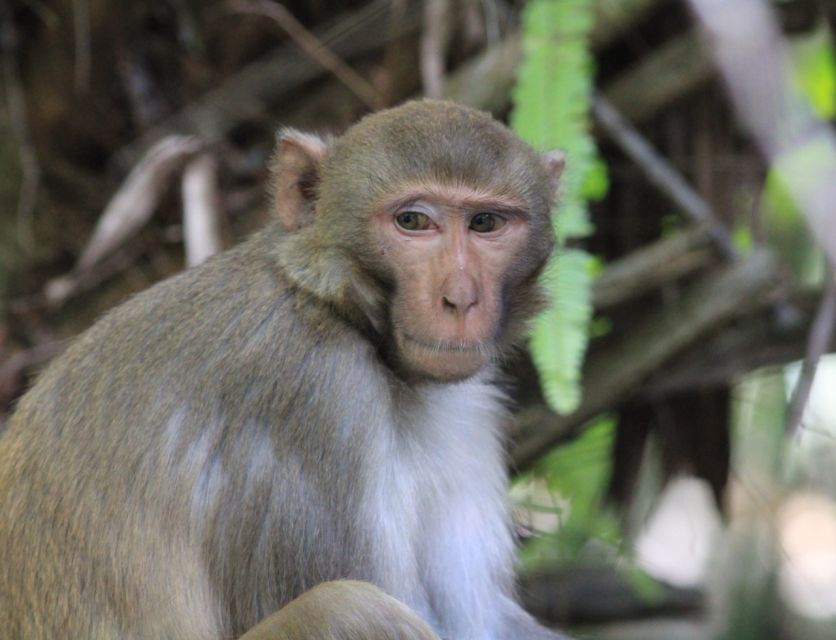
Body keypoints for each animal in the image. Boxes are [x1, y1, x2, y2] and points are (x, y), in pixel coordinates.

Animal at [0, 100, 568, 640]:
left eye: (485, 223)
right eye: (413, 221)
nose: (461, 299)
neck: (331, 302)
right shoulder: (313, 389)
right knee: (353, 608)